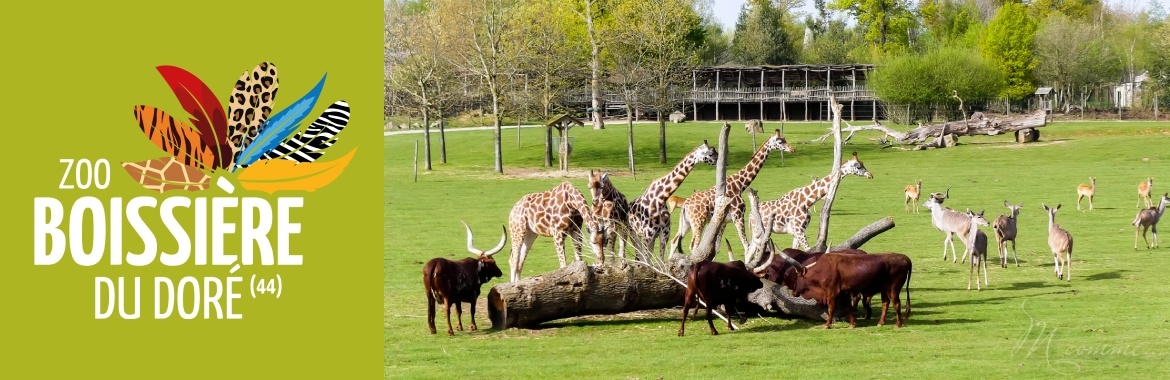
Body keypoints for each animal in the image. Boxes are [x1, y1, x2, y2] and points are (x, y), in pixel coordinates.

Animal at [673, 128, 790, 256]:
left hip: (686, 223)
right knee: (693, 246)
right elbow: (746, 246)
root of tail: (685, 205)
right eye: (780, 142)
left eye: (785, 139)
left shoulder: (724, 222)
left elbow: (716, 248)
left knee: (675, 240)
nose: (791, 149)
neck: (740, 184)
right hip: (698, 223)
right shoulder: (738, 216)